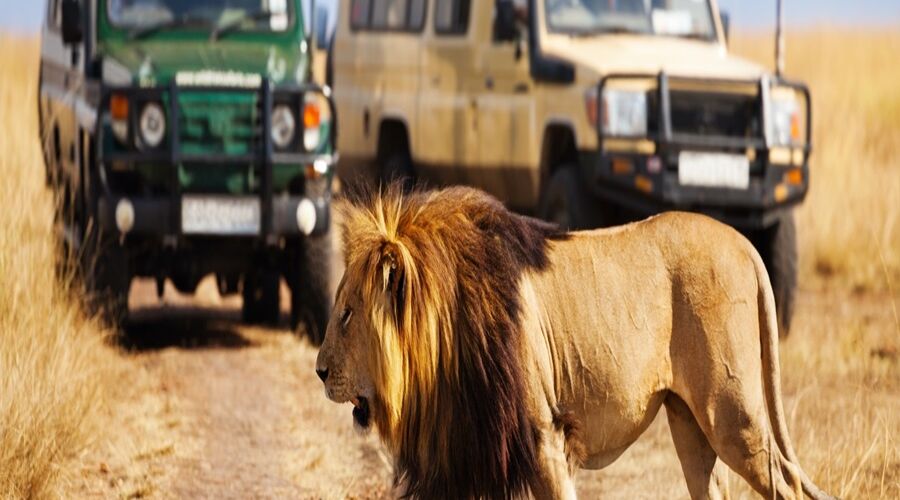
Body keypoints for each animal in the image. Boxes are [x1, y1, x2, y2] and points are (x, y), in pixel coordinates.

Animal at [314, 186, 828, 498]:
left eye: (347, 314)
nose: (319, 371)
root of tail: (744, 243)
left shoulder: (544, 434)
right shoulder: (462, 451)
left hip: (732, 412)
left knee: (786, 485)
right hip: (689, 421)